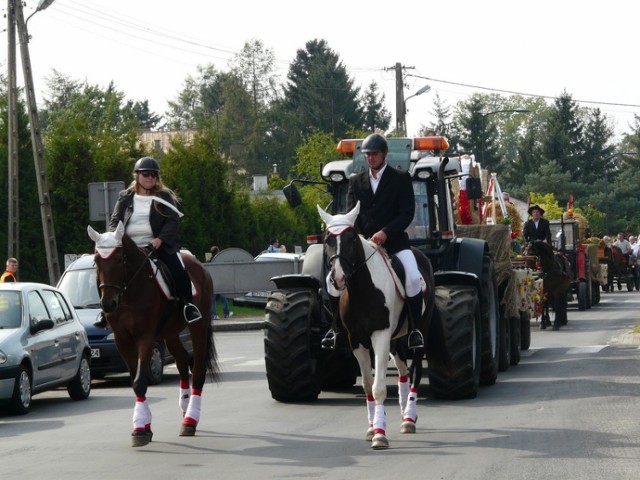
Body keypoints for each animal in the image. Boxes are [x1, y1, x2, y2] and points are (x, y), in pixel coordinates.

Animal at [87, 221, 220, 446]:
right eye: (96, 260)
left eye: (119, 258)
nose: (108, 304)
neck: (130, 292)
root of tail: (198, 264)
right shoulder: (123, 341)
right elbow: (136, 380)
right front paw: (143, 425)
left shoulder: (145, 338)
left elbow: (140, 381)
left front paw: (141, 430)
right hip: (170, 332)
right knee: (182, 361)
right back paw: (185, 409)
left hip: (198, 327)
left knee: (198, 369)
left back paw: (190, 420)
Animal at [318, 201, 436, 448]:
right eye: (327, 239)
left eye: (352, 238)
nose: (337, 278)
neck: (361, 289)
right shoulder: (356, 341)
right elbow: (366, 385)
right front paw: (373, 427)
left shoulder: (380, 335)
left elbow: (379, 387)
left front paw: (380, 434)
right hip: (396, 339)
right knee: (403, 371)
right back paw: (403, 410)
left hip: (420, 332)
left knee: (415, 370)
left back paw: (409, 417)